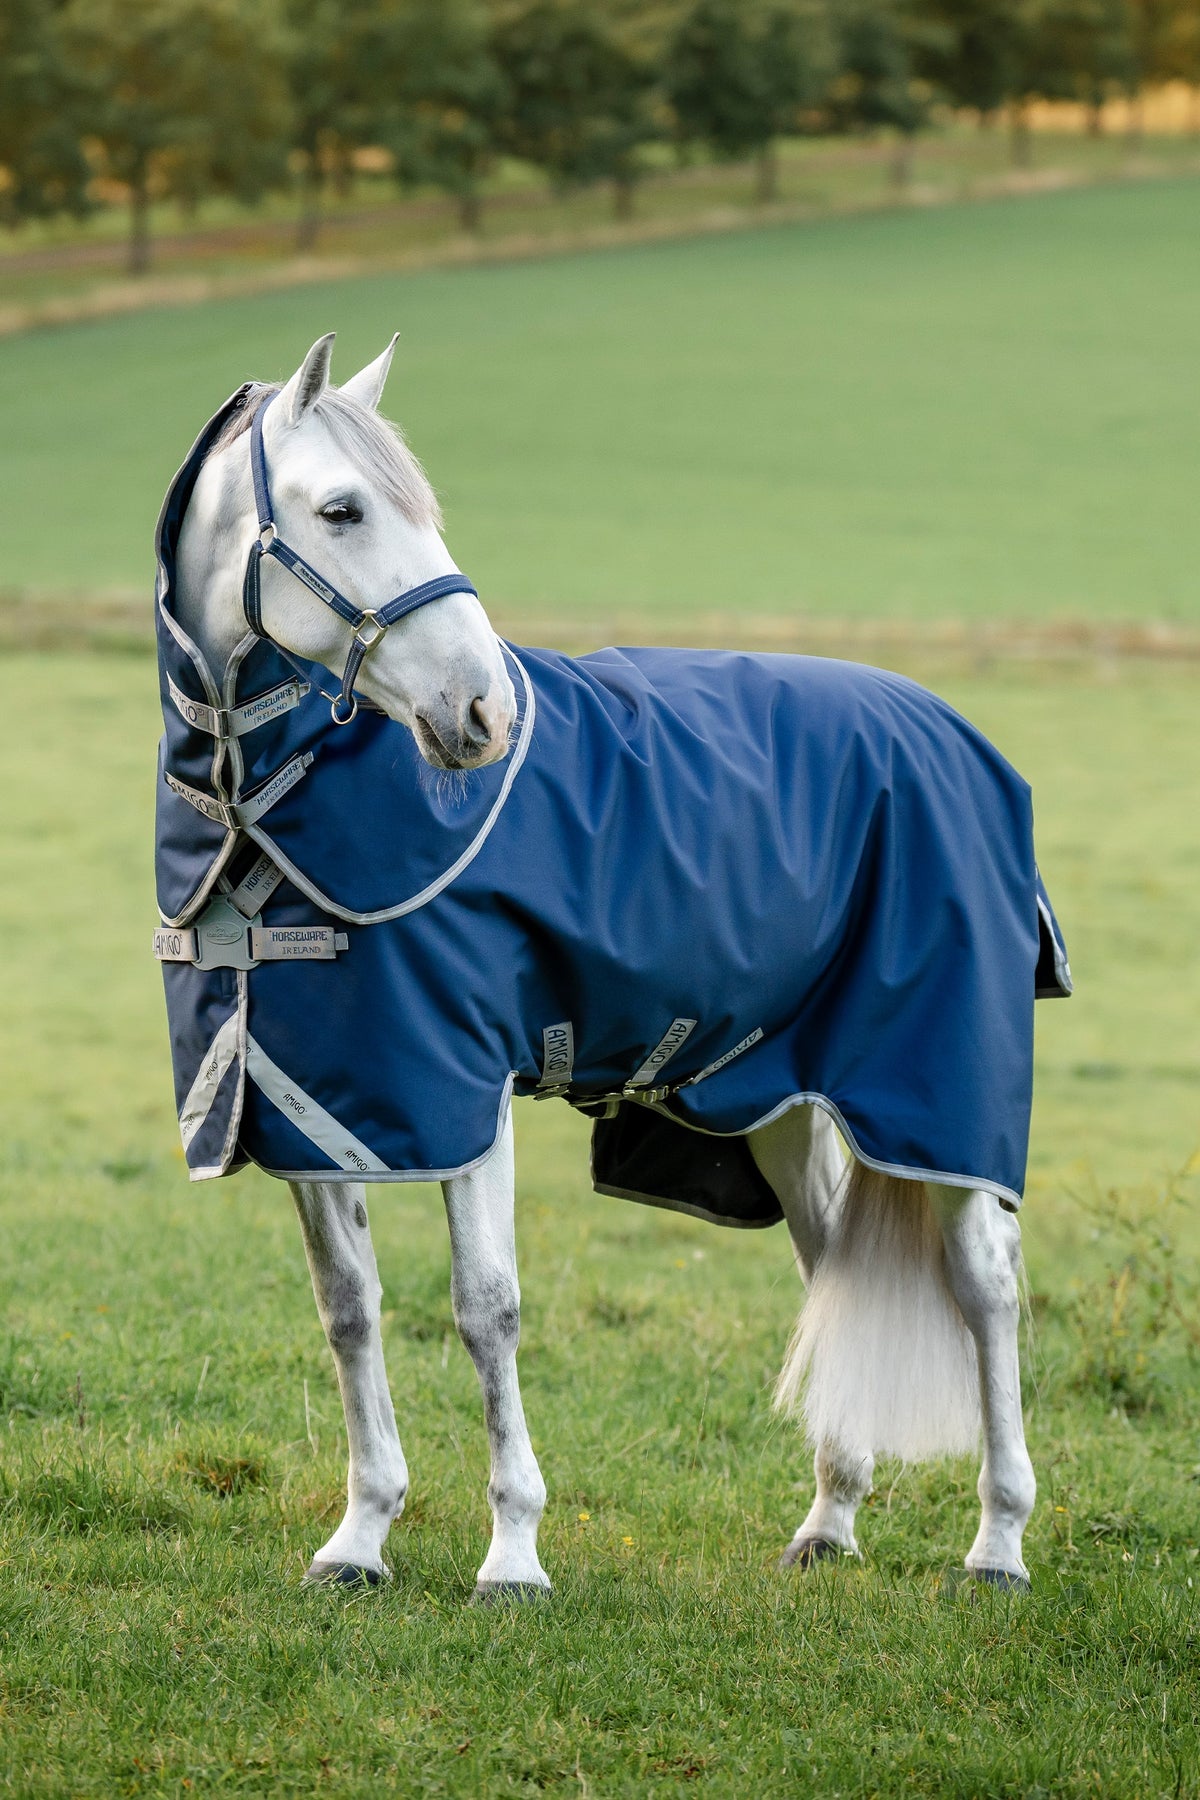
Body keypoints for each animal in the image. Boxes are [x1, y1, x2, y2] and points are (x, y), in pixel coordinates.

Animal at [155, 331, 1067, 1599]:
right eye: (340, 510)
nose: (481, 713)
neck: (270, 815)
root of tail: (948, 731)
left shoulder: (465, 1090)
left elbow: (486, 1308)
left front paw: (513, 1552)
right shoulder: (315, 1105)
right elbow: (348, 1309)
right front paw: (361, 1536)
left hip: (934, 1092)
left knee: (986, 1287)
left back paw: (999, 1542)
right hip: (782, 1101)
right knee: (832, 1268)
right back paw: (831, 1520)